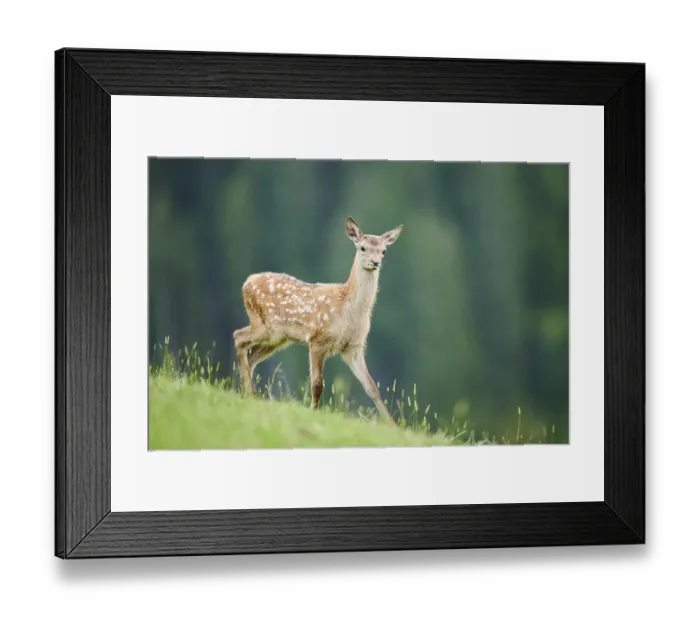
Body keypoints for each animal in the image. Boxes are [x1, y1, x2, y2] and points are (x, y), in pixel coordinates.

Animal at [233, 217, 403, 425]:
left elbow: (371, 387)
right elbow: (317, 384)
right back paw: (249, 392)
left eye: (383, 250)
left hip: (278, 338)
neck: (348, 309)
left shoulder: (353, 346)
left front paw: (393, 425)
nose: (375, 262)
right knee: (238, 336)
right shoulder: (318, 339)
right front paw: (313, 413)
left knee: (251, 355)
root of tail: (246, 283)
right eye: (362, 247)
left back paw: (248, 393)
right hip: (265, 324)